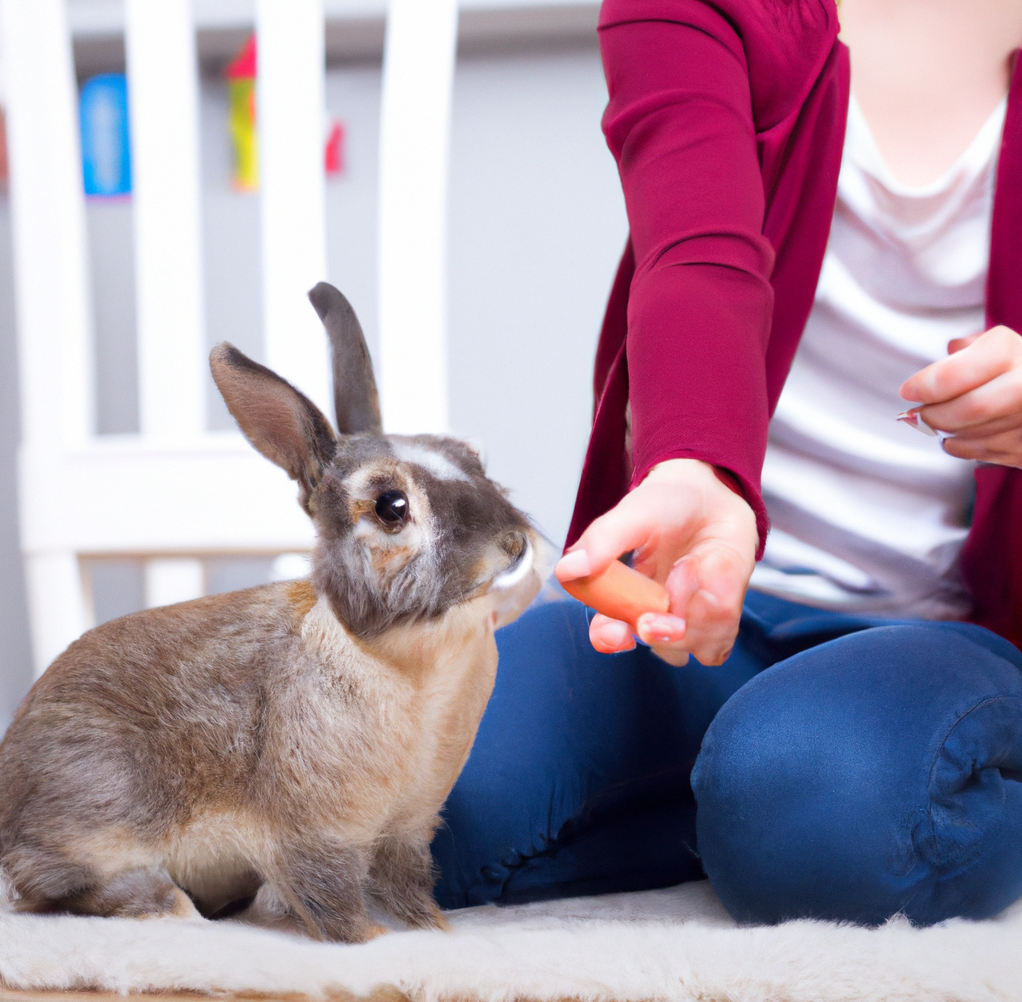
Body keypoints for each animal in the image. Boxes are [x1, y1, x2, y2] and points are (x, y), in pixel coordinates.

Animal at [0, 286, 551, 944]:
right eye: (391, 506)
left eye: (473, 459)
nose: (512, 544)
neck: (397, 656)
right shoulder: (312, 834)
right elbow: (332, 900)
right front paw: (374, 942)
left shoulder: (407, 830)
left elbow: (409, 889)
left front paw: (435, 932)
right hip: (95, 808)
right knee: (55, 887)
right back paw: (169, 906)